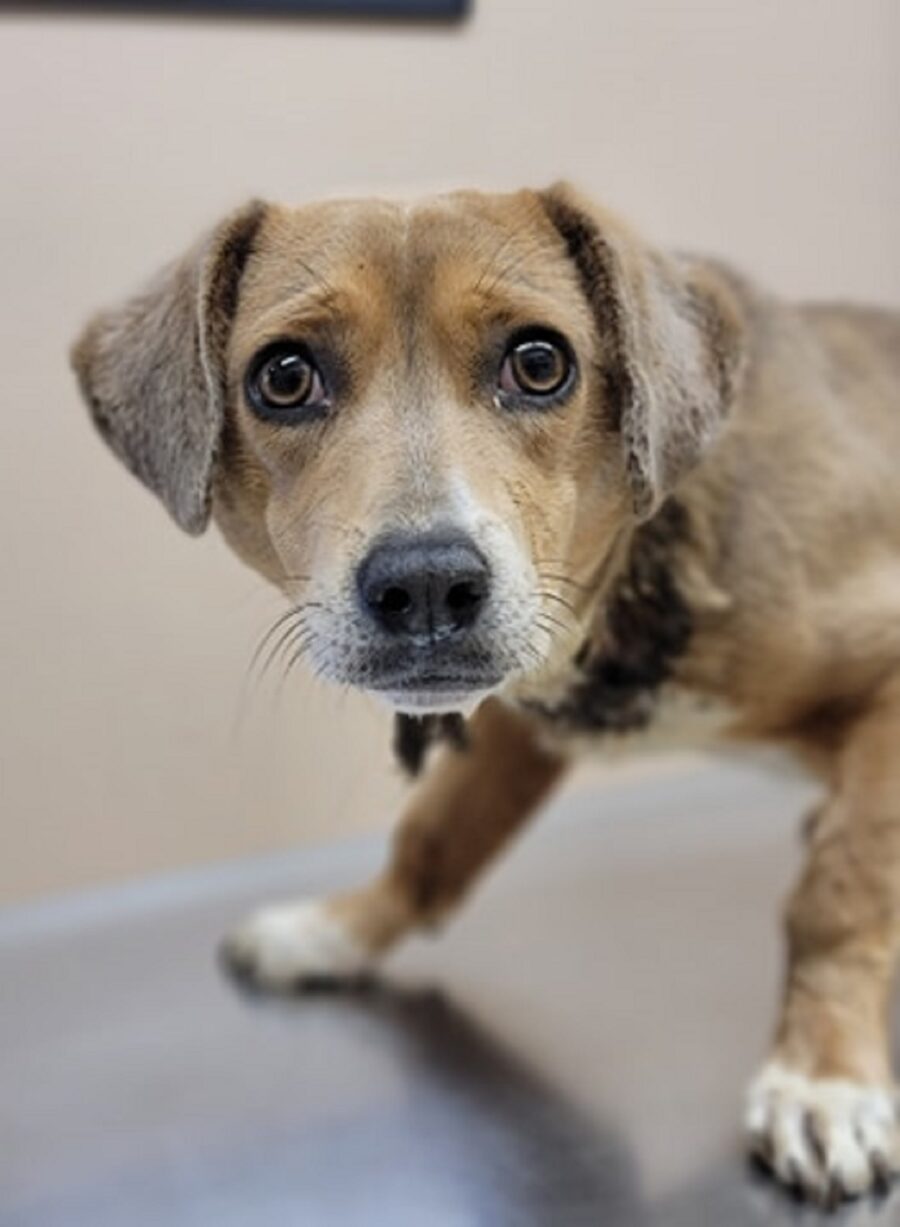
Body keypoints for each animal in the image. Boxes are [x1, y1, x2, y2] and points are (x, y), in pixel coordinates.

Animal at [71, 186, 900, 1202]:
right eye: (285, 376)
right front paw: (339, 931)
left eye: (539, 363)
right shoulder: (515, 718)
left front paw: (823, 1081)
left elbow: (841, 891)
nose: (427, 583)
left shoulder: (888, 696)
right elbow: (436, 838)